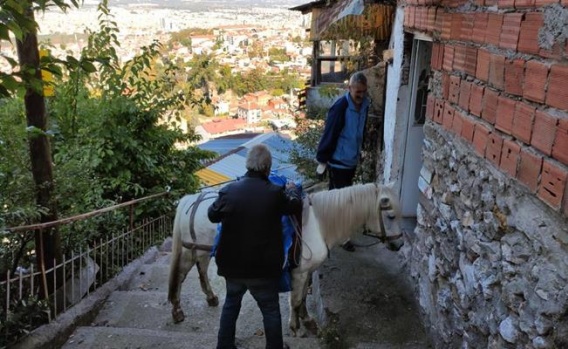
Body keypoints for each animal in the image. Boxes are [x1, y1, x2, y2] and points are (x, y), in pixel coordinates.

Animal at [166, 182, 406, 332]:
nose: (400, 244)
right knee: (179, 276)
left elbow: (303, 298)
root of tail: (190, 199)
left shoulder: (306, 271)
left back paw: (211, 297)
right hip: (189, 252)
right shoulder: (299, 272)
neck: (318, 223)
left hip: (202, 250)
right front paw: (294, 325)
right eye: (390, 216)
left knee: (202, 269)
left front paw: (307, 320)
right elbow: (296, 299)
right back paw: (177, 311)